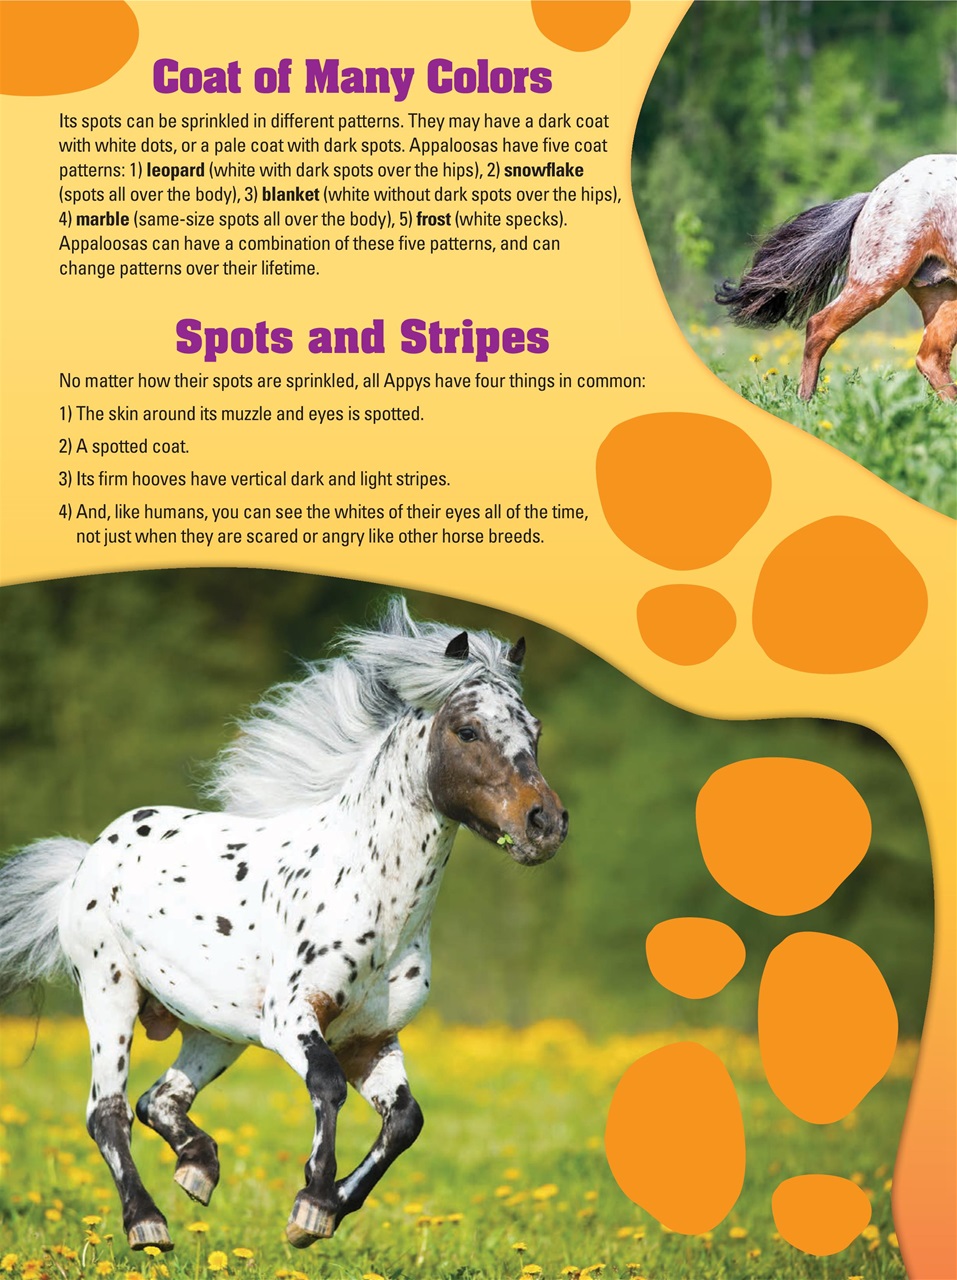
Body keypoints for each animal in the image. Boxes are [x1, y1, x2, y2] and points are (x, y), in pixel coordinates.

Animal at [0, 599, 567, 1252]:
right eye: (468, 730)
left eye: (535, 730)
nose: (545, 823)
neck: (375, 902)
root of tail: (88, 856)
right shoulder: (292, 1018)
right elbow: (326, 1085)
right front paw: (313, 1204)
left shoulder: (372, 1038)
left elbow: (405, 1120)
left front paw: (325, 1208)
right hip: (110, 993)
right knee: (108, 1111)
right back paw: (148, 1222)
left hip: (215, 1029)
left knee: (159, 1099)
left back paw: (198, 1167)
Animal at [715, 154, 957, 400]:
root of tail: (875, 194)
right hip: (877, 281)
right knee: (819, 326)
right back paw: (805, 400)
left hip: (942, 293)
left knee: (932, 358)